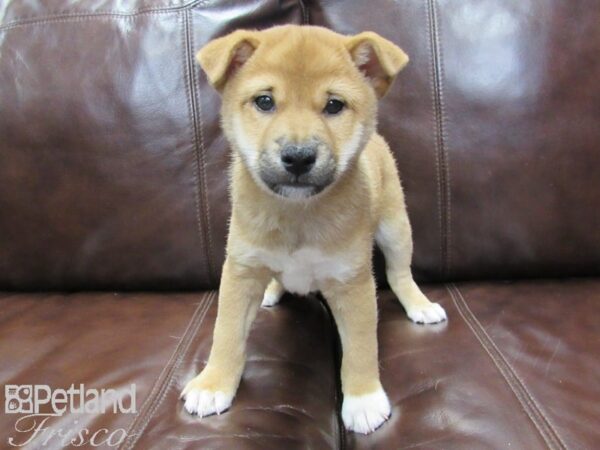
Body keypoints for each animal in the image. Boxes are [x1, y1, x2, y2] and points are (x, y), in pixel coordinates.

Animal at [180, 25, 448, 436]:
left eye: (334, 106)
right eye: (264, 101)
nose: (298, 157)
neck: (297, 213)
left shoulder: (353, 282)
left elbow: (360, 346)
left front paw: (363, 398)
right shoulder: (241, 271)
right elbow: (225, 333)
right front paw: (213, 384)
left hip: (396, 229)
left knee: (400, 273)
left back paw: (419, 304)